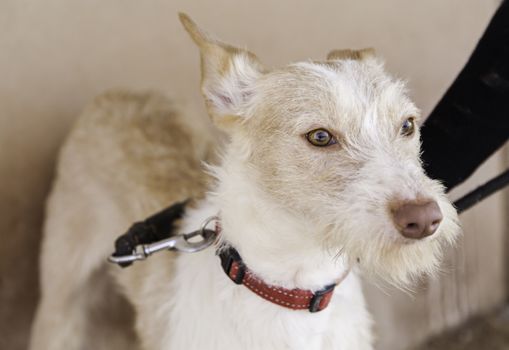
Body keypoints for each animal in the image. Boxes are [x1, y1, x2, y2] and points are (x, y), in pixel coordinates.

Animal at [30, 13, 460, 350]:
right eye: (320, 136)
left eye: (407, 125)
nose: (424, 218)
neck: (292, 289)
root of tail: (117, 92)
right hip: (60, 299)